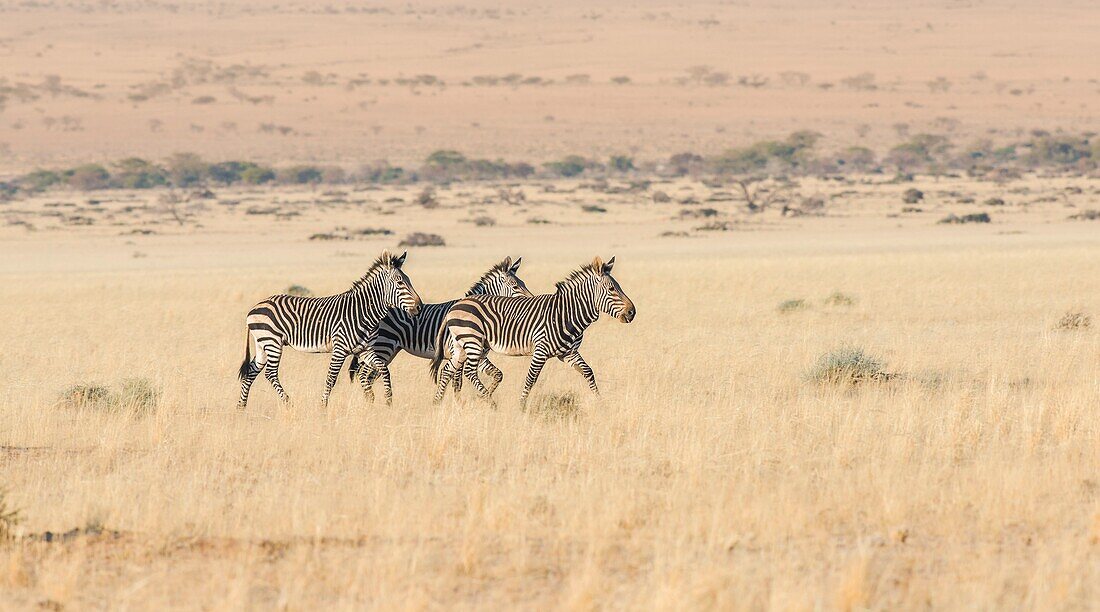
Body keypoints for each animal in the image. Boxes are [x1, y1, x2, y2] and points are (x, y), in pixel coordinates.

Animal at [236, 250, 420, 409]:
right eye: (400, 282)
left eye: (409, 281)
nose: (419, 307)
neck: (362, 313)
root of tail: (254, 308)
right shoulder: (340, 349)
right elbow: (331, 379)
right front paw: (323, 407)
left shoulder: (365, 350)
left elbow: (384, 370)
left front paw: (383, 401)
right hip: (272, 341)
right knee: (270, 373)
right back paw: (288, 402)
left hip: (262, 344)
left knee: (252, 371)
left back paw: (241, 407)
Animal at [343, 255, 532, 405]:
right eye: (515, 286)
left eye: (523, 283)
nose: (531, 299)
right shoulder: (461, 351)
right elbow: (457, 382)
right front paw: (460, 404)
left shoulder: (479, 356)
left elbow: (498, 374)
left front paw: (480, 397)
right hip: (384, 346)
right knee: (364, 373)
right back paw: (370, 401)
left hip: (391, 350)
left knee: (370, 374)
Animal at [429, 256, 638, 407]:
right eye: (611, 289)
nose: (632, 312)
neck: (565, 313)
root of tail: (456, 305)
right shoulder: (541, 350)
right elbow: (531, 379)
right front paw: (521, 407)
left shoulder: (568, 352)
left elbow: (588, 372)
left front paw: (601, 402)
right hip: (473, 341)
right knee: (469, 372)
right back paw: (490, 402)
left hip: (461, 345)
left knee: (448, 370)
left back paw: (437, 403)